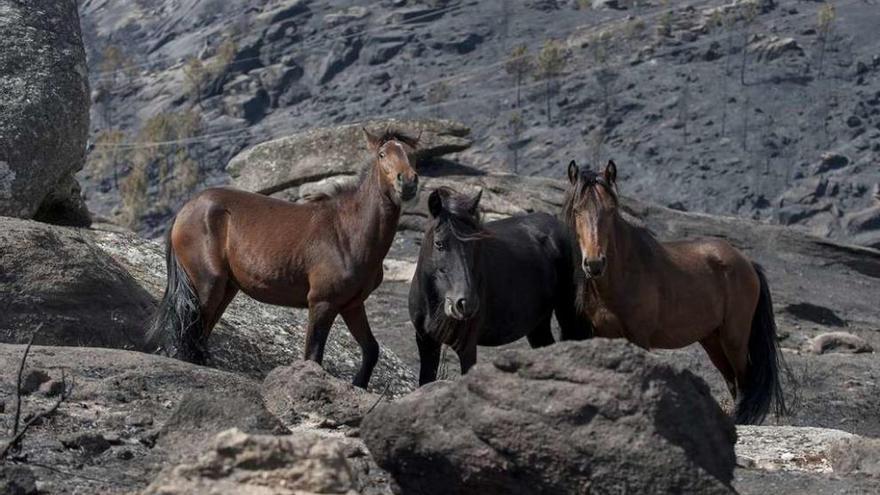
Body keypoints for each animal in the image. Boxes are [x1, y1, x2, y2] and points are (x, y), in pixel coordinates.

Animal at [146, 130, 422, 390]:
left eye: (410, 154)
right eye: (382, 154)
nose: (408, 182)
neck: (347, 231)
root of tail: (186, 209)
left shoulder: (352, 304)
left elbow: (371, 349)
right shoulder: (322, 303)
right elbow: (313, 355)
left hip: (226, 289)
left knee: (201, 332)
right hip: (207, 286)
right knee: (191, 329)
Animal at [410, 188, 592, 386]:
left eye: (474, 244)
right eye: (439, 243)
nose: (466, 303)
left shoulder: (466, 346)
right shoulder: (426, 343)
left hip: (568, 314)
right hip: (538, 324)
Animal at [564, 161, 792, 424]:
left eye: (611, 211)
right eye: (577, 210)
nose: (594, 264)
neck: (624, 274)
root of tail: (748, 263)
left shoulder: (639, 337)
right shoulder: (602, 334)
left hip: (734, 338)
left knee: (744, 382)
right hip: (713, 341)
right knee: (733, 383)